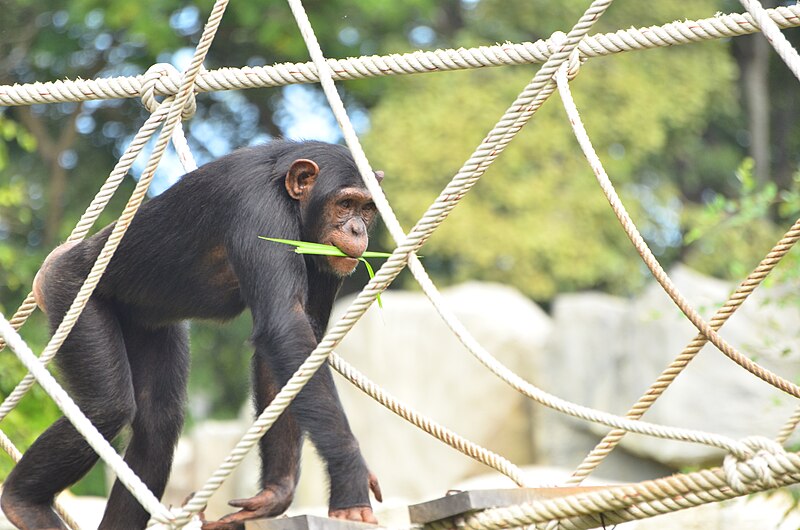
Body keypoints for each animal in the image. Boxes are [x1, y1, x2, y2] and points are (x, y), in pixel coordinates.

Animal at [2, 139, 384, 528]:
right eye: (345, 204)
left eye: (368, 208)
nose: (358, 230)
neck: (291, 202)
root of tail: (50, 267)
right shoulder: (259, 209)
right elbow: (285, 327)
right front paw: (349, 475)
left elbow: (293, 352)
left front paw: (276, 491)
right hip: (71, 293)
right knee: (105, 409)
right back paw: (24, 503)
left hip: (148, 324)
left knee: (158, 423)